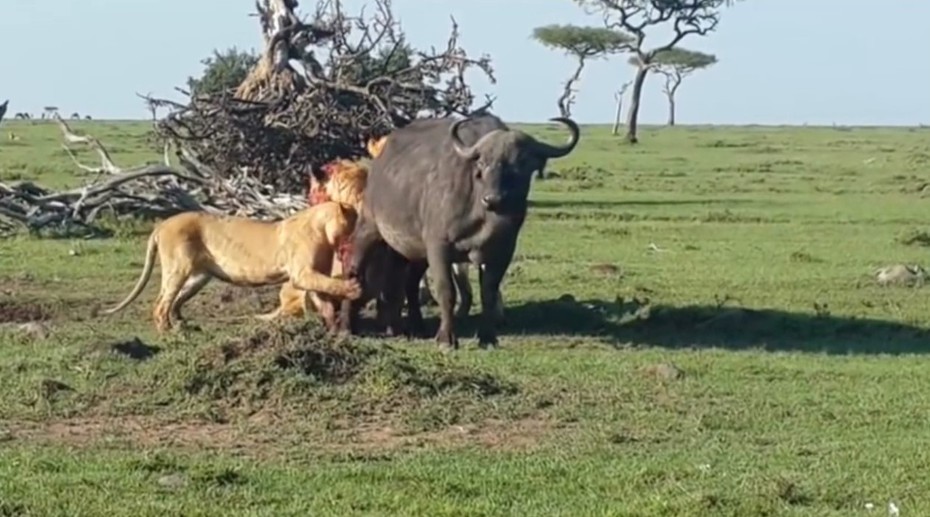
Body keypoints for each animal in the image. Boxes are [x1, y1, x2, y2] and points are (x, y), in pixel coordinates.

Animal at [100, 202, 362, 330]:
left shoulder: (311, 275)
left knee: (176, 300)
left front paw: (332, 323)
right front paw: (353, 288)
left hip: (199, 277)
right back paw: (170, 331)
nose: (362, 229)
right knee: (161, 304)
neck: (323, 229)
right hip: (178, 267)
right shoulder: (302, 273)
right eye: (354, 220)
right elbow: (328, 285)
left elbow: (322, 293)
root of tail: (162, 225)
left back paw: (184, 324)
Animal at [340, 112, 580, 346]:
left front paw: (488, 337)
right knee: (355, 270)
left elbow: (489, 294)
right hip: (370, 227)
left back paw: (414, 327)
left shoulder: (502, 253)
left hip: (413, 251)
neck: (483, 215)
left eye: (520, 162)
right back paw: (347, 326)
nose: (493, 199)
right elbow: (447, 291)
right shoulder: (439, 247)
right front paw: (446, 338)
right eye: (483, 163)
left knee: (408, 283)